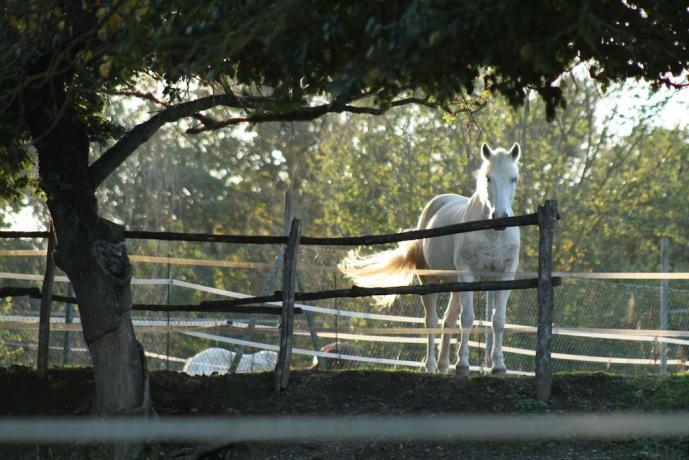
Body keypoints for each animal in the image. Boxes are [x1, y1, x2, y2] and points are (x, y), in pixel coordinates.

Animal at [338, 143, 520, 374]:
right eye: (488, 178)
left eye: (513, 178)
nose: (500, 218)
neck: (491, 234)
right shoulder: (467, 275)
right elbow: (468, 318)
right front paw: (463, 364)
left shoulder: (505, 276)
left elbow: (498, 320)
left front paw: (498, 366)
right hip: (430, 281)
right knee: (432, 320)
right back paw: (433, 366)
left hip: (454, 285)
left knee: (448, 321)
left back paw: (443, 366)